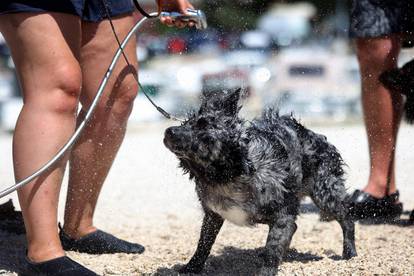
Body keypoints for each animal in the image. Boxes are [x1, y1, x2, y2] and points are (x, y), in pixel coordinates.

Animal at [163, 89, 358, 274]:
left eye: (204, 136)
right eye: (188, 123)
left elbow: (273, 247)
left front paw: (267, 268)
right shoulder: (213, 215)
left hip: (325, 194)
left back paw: (350, 252)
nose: (169, 131)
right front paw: (192, 267)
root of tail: (316, 136)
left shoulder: (282, 215)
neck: (230, 176)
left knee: (346, 219)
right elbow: (204, 244)